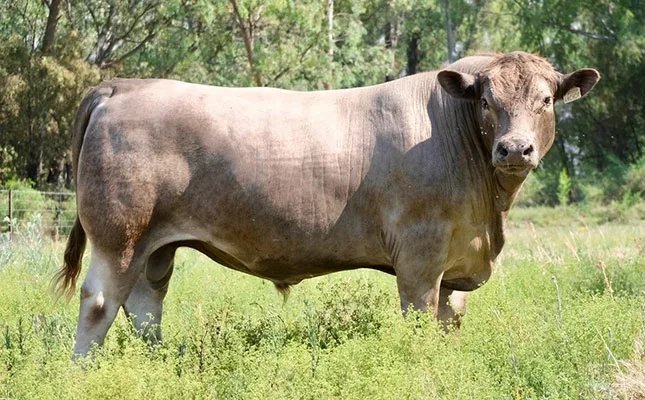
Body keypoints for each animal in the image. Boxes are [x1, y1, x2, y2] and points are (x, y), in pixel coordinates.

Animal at [55, 51, 599, 355]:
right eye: (487, 101)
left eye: (545, 100)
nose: (514, 149)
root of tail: (122, 86)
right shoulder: (420, 257)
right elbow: (419, 323)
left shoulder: (456, 263)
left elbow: (450, 325)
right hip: (119, 236)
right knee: (100, 303)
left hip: (157, 245)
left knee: (146, 306)